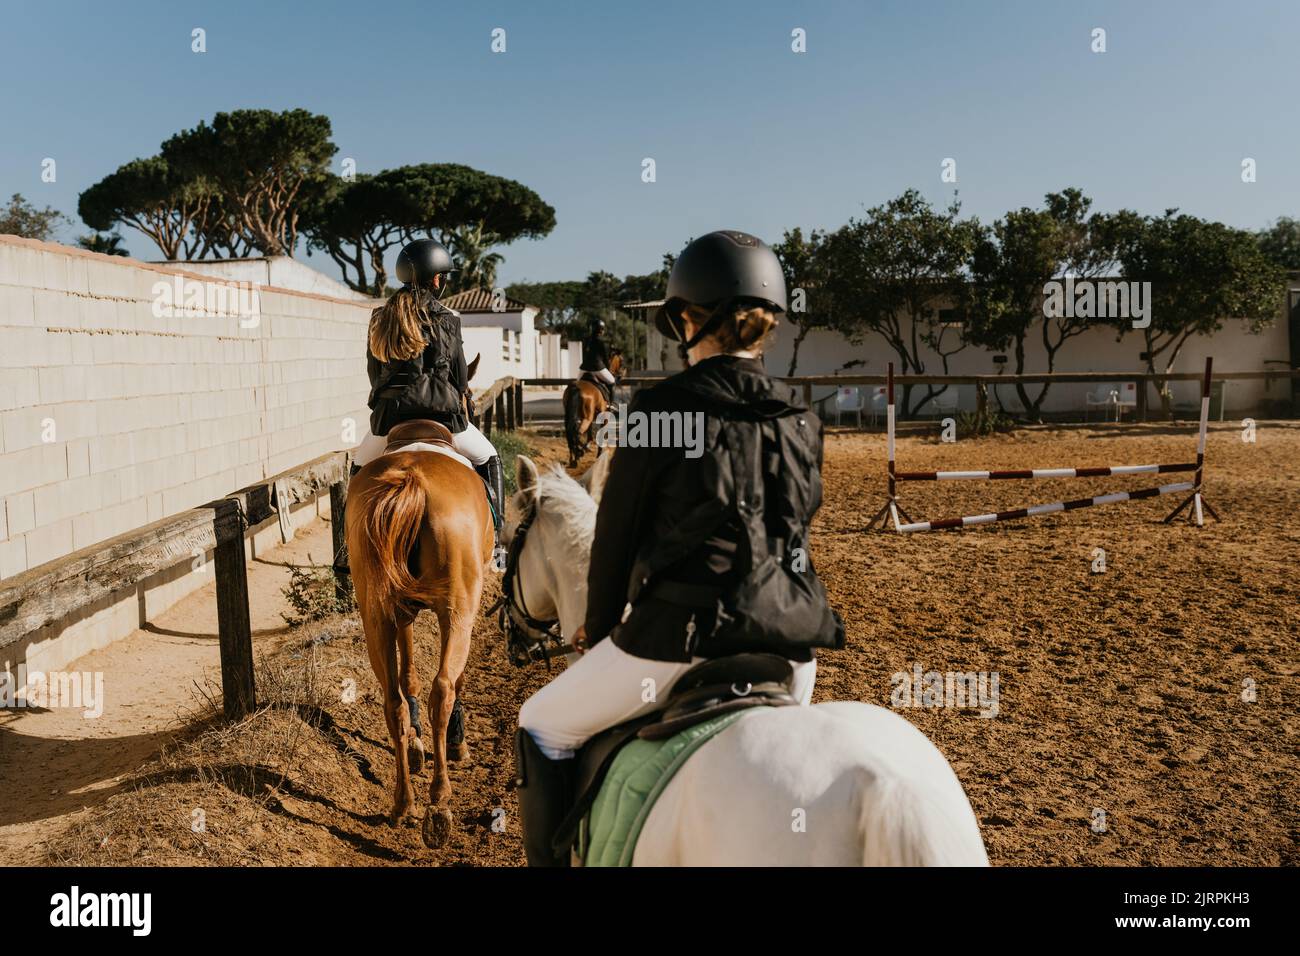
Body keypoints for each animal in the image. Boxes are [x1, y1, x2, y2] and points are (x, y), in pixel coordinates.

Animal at [345, 357, 493, 849]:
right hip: (457, 609)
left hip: (375, 613)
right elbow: (454, 678)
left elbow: (407, 672)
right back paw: (438, 805)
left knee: (391, 698)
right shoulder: (463, 609)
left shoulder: (401, 611)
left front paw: (415, 746)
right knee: (443, 689)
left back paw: (403, 802)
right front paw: (455, 743)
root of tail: (411, 478)